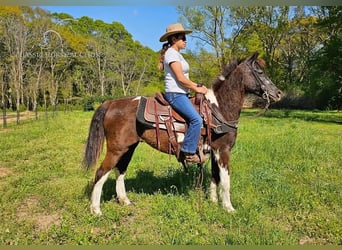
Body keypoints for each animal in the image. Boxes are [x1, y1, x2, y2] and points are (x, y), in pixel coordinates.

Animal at [83, 51, 284, 215]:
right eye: (259, 72)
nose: (278, 93)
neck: (219, 109)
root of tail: (111, 103)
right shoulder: (224, 150)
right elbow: (225, 180)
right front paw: (228, 208)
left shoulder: (214, 151)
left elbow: (215, 177)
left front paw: (213, 201)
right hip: (116, 149)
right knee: (101, 172)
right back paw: (96, 210)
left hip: (129, 147)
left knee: (120, 170)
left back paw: (124, 201)